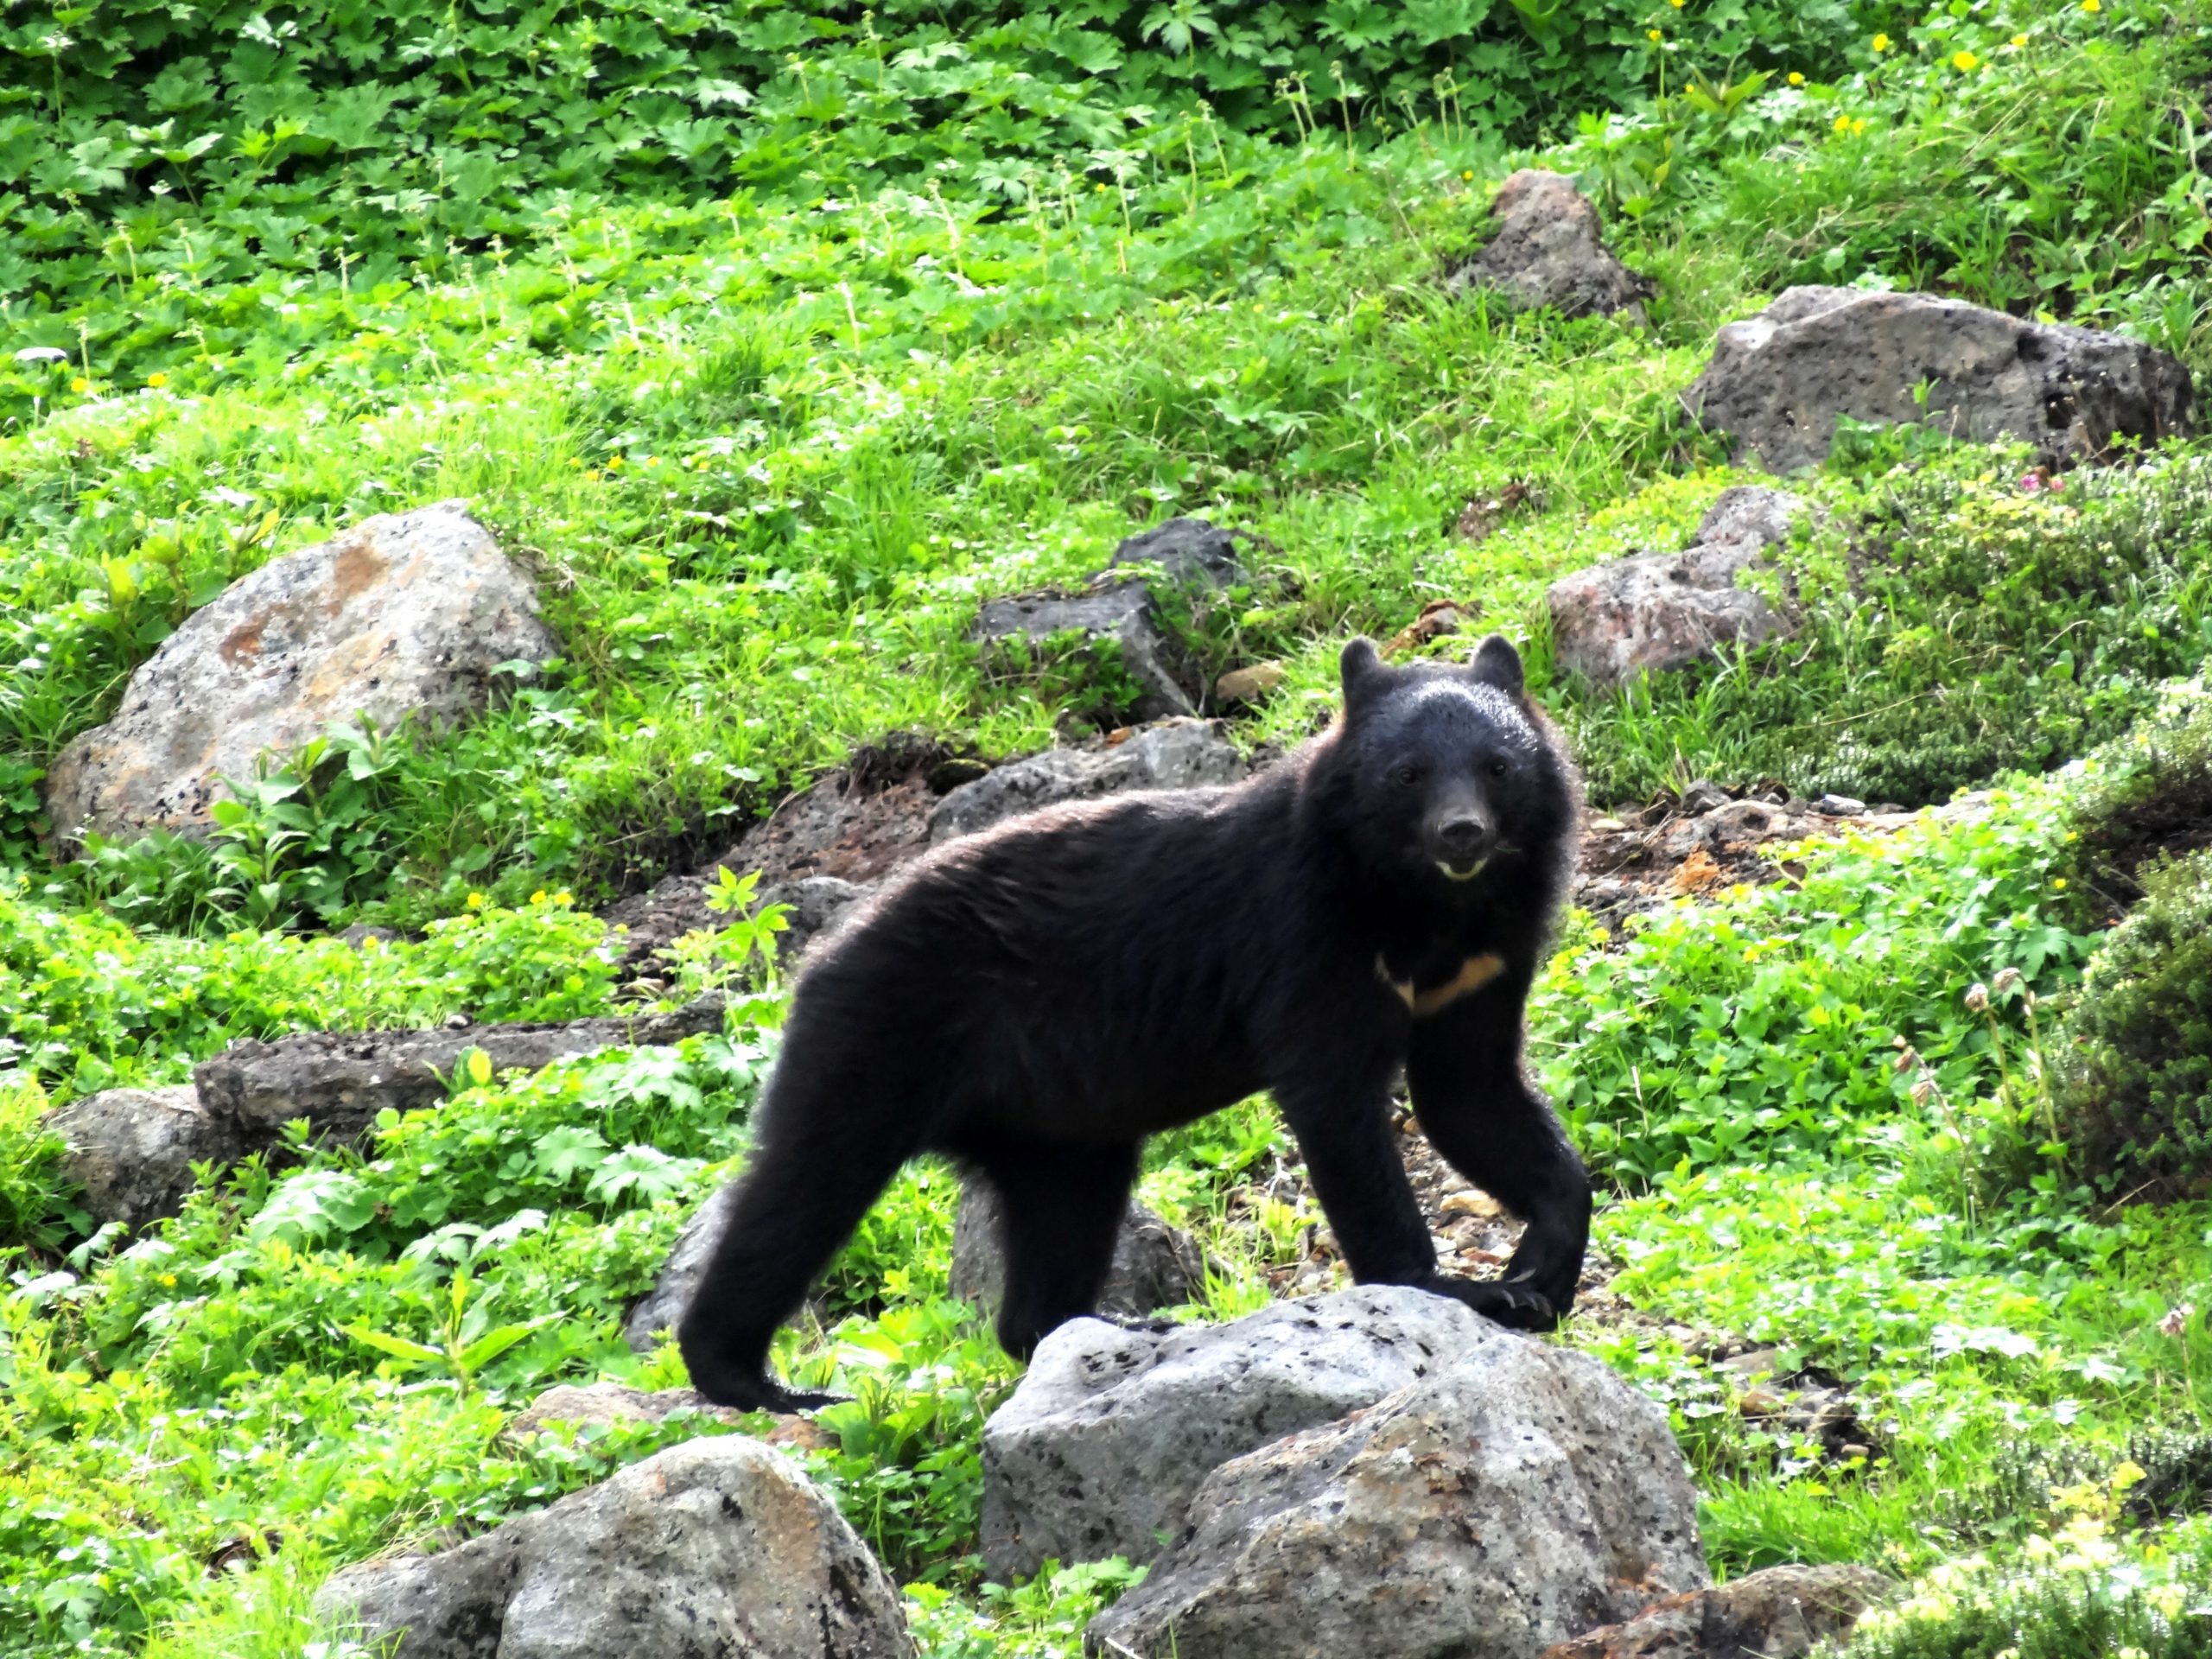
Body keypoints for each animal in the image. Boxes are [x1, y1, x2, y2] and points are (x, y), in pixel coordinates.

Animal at [677, 628, 1592, 1407]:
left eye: (1498, 766)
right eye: (1406, 773)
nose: (1462, 832)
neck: (1426, 908)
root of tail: (824, 948)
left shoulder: (1482, 966)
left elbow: (1471, 1094)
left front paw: (1535, 1275)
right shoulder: (1308, 937)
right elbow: (1339, 1108)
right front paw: (1446, 1288)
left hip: (1060, 1126)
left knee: (1059, 1224)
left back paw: (1106, 1326)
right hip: (882, 1034)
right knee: (804, 1186)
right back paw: (757, 1379)